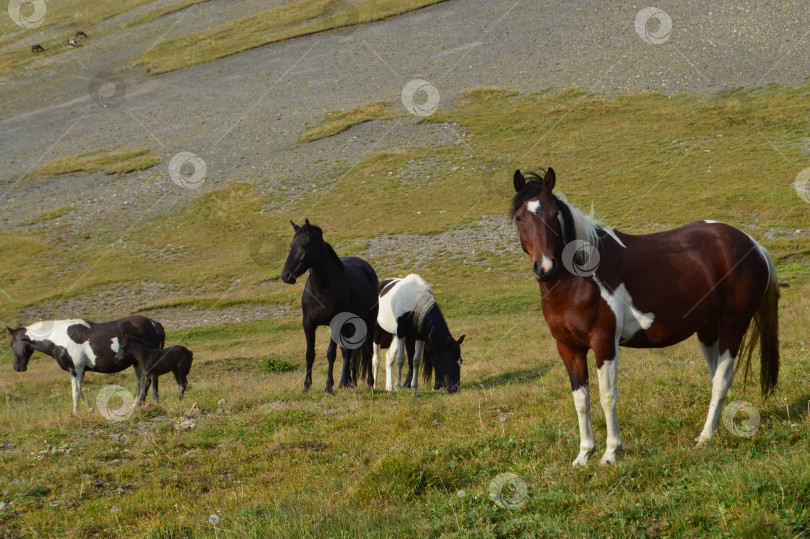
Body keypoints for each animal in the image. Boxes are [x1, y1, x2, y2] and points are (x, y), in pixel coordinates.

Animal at [6, 316, 163, 414]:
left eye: (12, 345)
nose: (17, 367)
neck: (60, 338)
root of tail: (155, 324)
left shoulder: (76, 369)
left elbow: (75, 392)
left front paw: (76, 413)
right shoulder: (78, 371)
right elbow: (80, 390)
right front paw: (90, 408)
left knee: (147, 382)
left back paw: (140, 404)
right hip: (136, 363)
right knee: (141, 383)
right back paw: (137, 404)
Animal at [280, 218, 378, 392]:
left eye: (305, 245)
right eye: (291, 245)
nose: (286, 275)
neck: (320, 290)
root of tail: (367, 268)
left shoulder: (335, 323)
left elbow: (331, 353)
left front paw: (328, 386)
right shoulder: (308, 324)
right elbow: (310, 354)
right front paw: (306, 386)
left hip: (368, 321)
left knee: (367, 351)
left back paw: (369, 383)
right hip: (349, 326)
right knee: (348, 352)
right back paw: (347, 382)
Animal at [512, 170, 776, 468]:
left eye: (554, 214)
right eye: (520, 217)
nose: (545, 268)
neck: (578, 278)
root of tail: (754, 245)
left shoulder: (604, 343)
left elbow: (607, 397)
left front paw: (610, 452)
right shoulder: (568, 348)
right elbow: (581, 400)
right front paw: (584, 454)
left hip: (733, 325)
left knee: (721, 380)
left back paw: (705, 437)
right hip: (709, 330)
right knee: (716, 377)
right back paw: (714, 430)